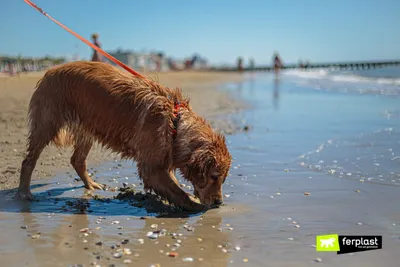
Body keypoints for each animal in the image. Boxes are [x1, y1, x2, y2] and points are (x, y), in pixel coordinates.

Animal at [15, 61, 233, 211]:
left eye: (222, 179)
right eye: (214, 176)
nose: (219, 203)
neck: (174, 122)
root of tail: (49, 71)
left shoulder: (163, 158)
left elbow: (174, 183)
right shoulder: (150, 166)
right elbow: (176, 190)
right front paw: (194, 204)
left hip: (87, 129)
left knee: (77, 160)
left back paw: (90, 184)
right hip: (46, 125)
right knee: (28, 161)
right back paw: (24, 193)